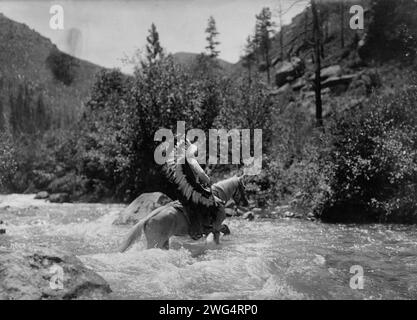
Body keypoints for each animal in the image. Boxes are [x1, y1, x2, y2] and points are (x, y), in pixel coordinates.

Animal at [118, 175, 247, 252]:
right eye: (243, 188)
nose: (246, 202)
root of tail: (147, 219)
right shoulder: (216, 226)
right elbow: (223, 229)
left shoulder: (212, 228)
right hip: (155, 242)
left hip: (163, 241)